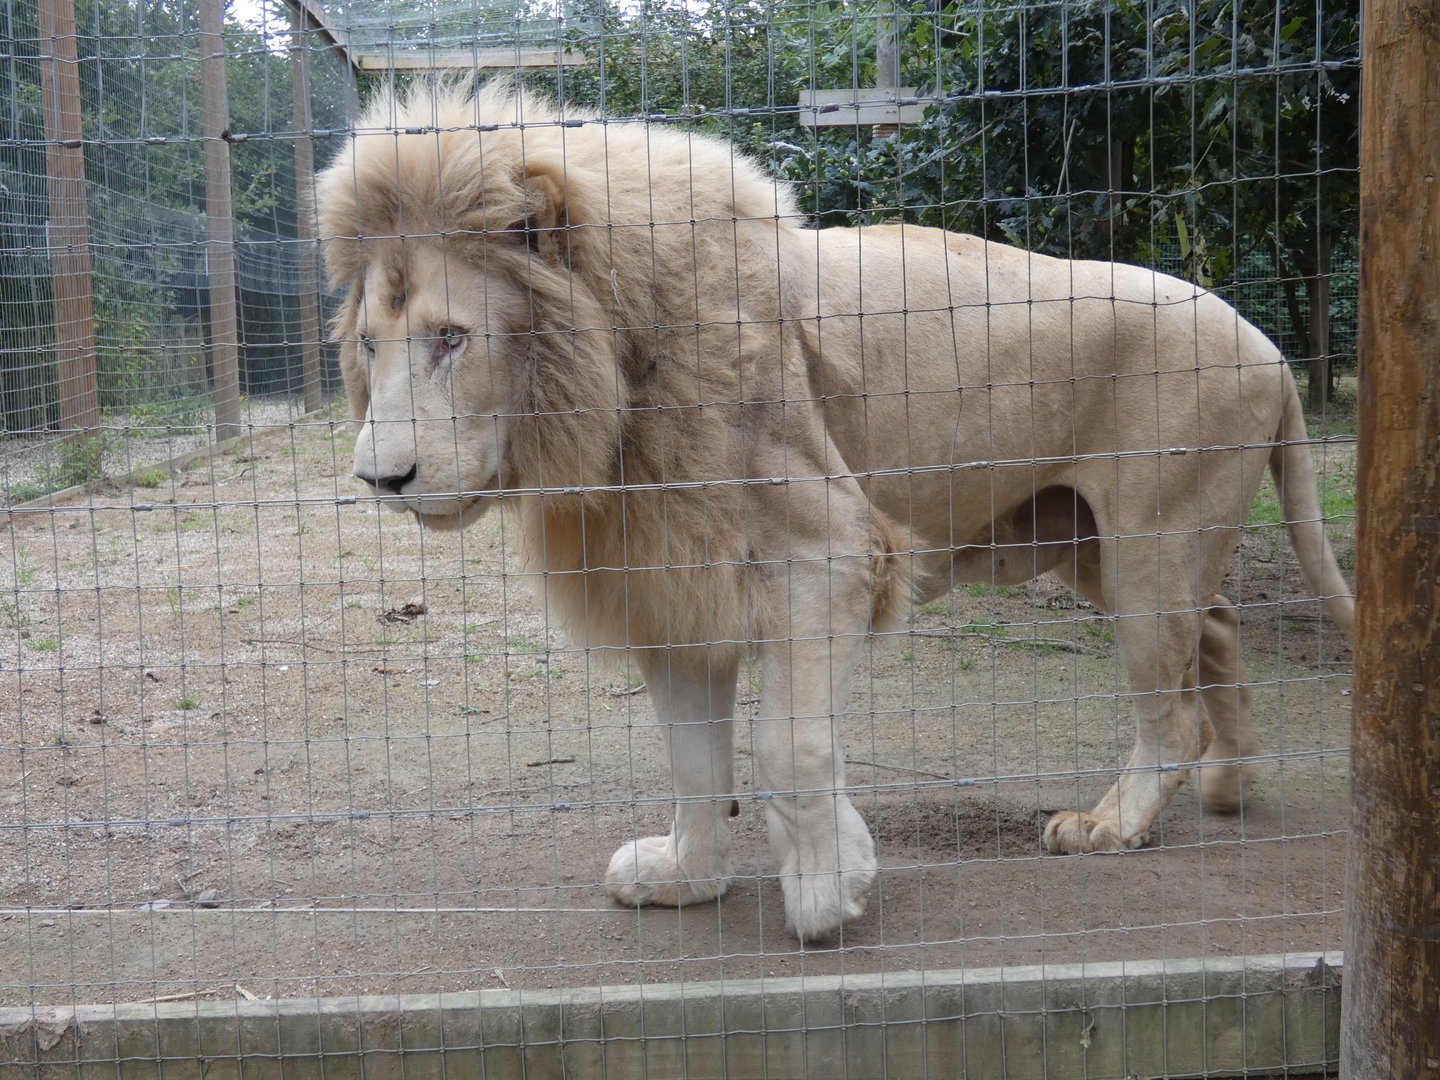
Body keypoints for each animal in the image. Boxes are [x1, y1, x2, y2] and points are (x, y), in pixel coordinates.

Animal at [316, 81, 1354, 942]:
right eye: (370, 344)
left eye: (453, 339)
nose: (380, 479)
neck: (615, 385)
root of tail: (1269, 344)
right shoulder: (672, 581)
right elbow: (695, 760)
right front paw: (689, 878)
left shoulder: (829, 557)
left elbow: (789, 744)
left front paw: (827, 892)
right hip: (1098, 545)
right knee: (1218, 630)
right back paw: (1228, 786)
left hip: (1148, 546)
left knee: (1169, 707)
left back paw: (1111, 824)